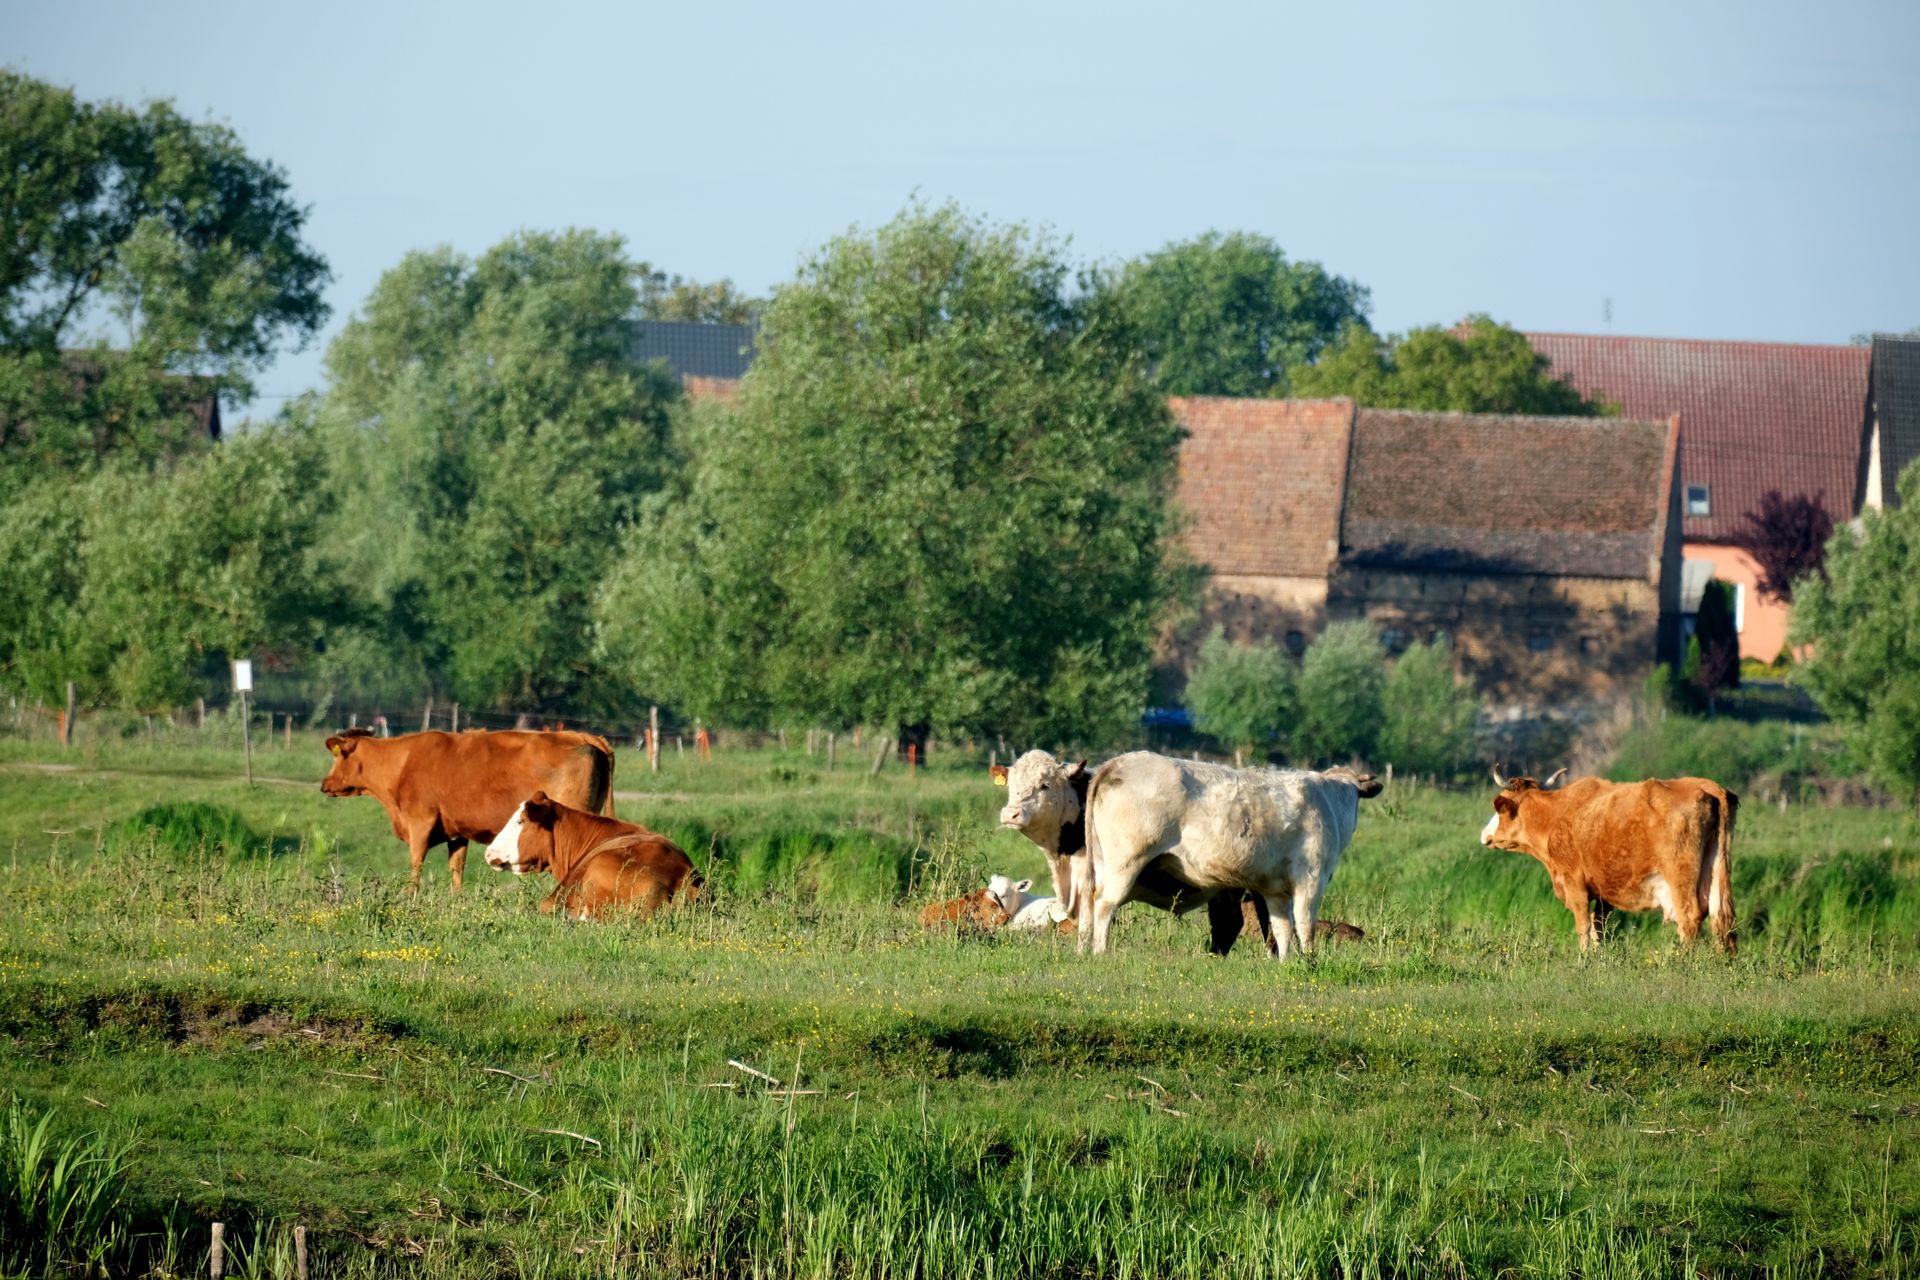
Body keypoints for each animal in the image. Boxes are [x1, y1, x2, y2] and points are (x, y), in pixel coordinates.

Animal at [320, 728, 615, 892]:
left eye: (338, 756)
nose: (325, 784)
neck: (403, 762)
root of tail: (584, 736)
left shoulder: (420, 822)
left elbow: (416, 864)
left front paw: (408, 898)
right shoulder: (456, 832)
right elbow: (456, 869)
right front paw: (456, 901)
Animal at [1078, 752, 1381, 957]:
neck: (1330, 801)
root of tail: (1117, 762)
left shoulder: (1274, 890)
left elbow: (1282, 929)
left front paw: (1287, 962)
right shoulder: (1311, 880)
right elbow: (1306, 925)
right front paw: (1310, 960)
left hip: (1101, 866)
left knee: (1087, 903)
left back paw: (1083, 949)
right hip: (1126, 864)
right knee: (1105, 904)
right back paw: (1101, 952)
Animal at [1480, 767, 1737, 953]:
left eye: (1500, 809)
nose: (1485, 834)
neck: (1555, 815)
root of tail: (1709, 788)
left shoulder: (1574, 884)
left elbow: (1583, 926)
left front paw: (1584, 959)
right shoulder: (1604, 893)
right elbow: (1598, 928)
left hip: (1680, 876)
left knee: (1690, 917)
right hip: (1716, 870)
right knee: (1721, 916)